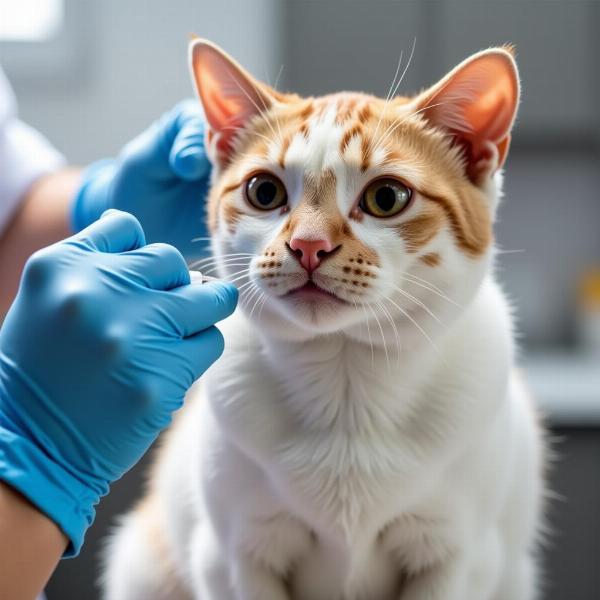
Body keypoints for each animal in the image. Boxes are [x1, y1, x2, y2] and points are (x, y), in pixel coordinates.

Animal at [102, 38, 544, 600]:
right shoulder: (236, 556)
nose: (308, 245)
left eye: (386, 197)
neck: (346, 382)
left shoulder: (456, 557)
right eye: (264, 192)